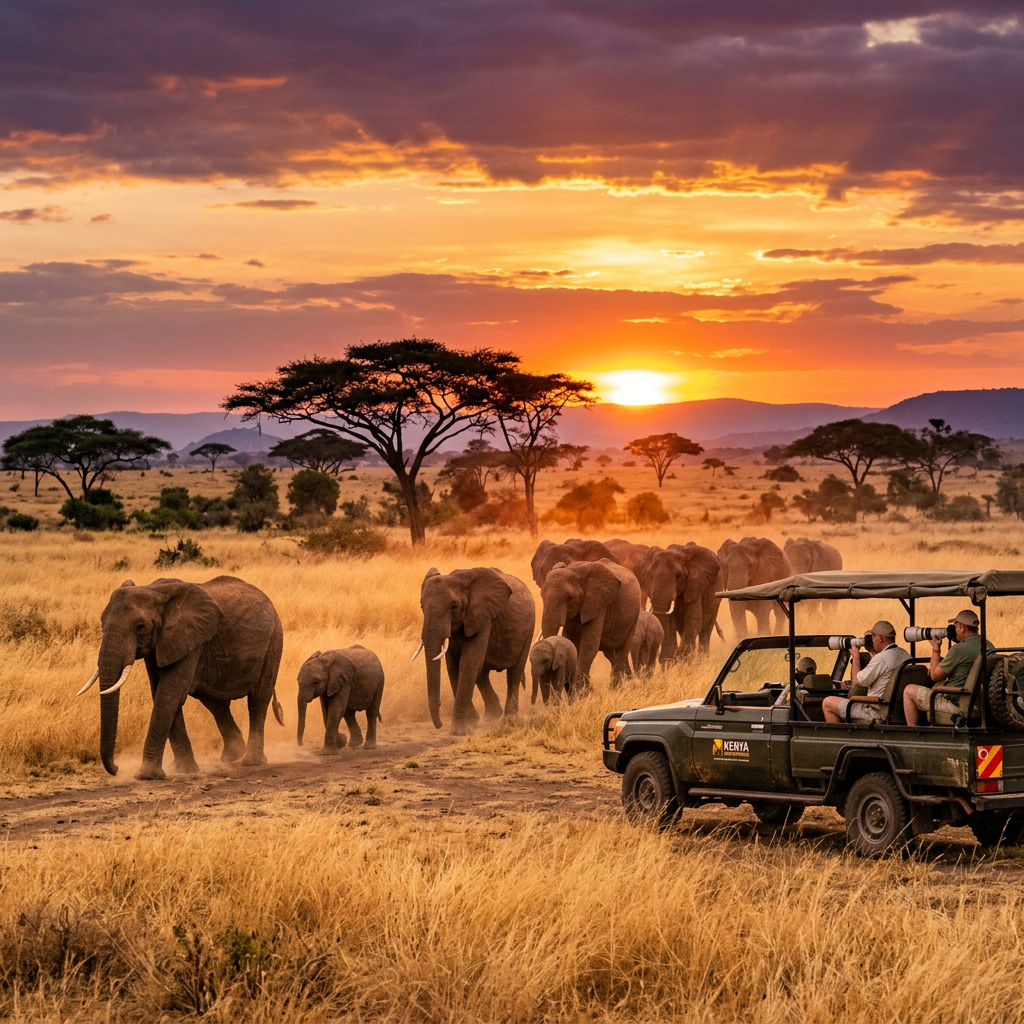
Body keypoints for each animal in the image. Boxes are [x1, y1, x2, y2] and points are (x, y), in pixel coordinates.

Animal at [79, 576, 284, 780]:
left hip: (273, 641)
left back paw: (250, 761)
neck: (154, 591)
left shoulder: (189, 638)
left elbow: (168, 694)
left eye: (140, 627)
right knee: (215, 703)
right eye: (102, 623)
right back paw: (233, 755)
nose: (116, 768)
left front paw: (147, 775)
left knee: (258, 700)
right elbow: (162, 692)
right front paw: (183, 769)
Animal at [417, 566, 535, 733]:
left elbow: (468, 664)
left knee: (514, 673)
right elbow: (453, 667)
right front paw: (472, 722)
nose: (439, 725)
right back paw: (491, 716)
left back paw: (508, 718)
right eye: (422, 606)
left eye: (453, 606)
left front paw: (458, 731)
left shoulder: (483, 619)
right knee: (482, 673)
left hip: (529, 629)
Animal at [539, 558, 641, 688]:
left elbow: (589, 645)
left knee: (620, 654)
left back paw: (615, 689)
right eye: (542, 595)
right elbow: (570, 641)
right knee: (612, 656)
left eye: (569, 598)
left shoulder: (597, 604)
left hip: (634, 616)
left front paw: (580, 690)